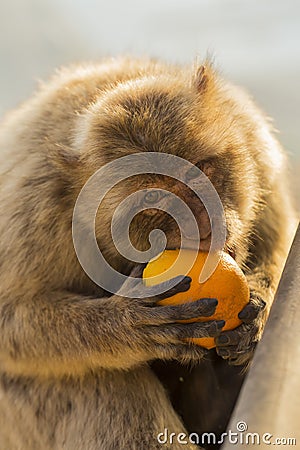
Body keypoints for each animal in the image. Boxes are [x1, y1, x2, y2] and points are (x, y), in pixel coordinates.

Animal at [0, 57, 296, 450]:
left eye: (200, 169)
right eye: (154, 198)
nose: (205, 223)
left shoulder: (254, 140)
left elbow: (278, 231)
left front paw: (260, 304)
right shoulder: (38, 212)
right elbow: (9, 320)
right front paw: (127, 323)